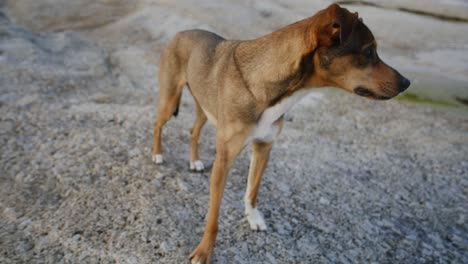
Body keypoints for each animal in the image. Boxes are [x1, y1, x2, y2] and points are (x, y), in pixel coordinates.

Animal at [151, 3, 410, 262]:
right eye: (369, 51)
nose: (406, 83)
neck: (270, 86)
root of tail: (180, 32)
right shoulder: (224, 160)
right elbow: (213, 219)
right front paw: (204, 251)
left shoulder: (264, 147)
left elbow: (253, 190)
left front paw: (253, 217)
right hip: (170, 99)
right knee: (158, 124)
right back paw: (157, 154)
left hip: (205, 108)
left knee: (193, 130)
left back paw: (194, 161)